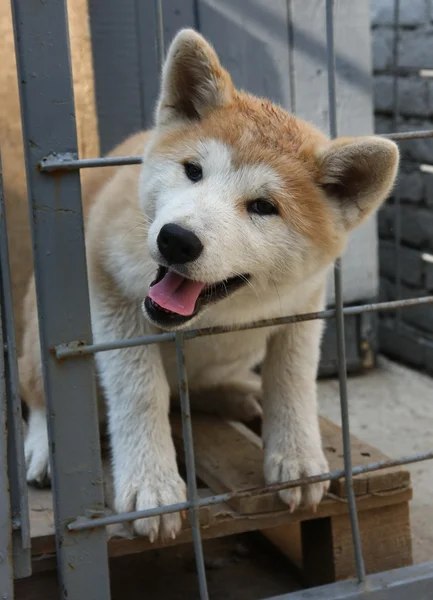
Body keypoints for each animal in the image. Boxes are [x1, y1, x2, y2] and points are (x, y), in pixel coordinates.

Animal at [20, 29, 398, 544]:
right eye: (193, 171)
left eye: (263, 207)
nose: (176, 239)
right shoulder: (108, 290)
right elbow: (140, 392)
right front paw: (152, 483)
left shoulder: (305, 305)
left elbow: (293, 380)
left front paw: (297, 455)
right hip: (43, 326)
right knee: (39, 392)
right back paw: (44, 447)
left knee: (193, 390)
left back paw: (235, 393)